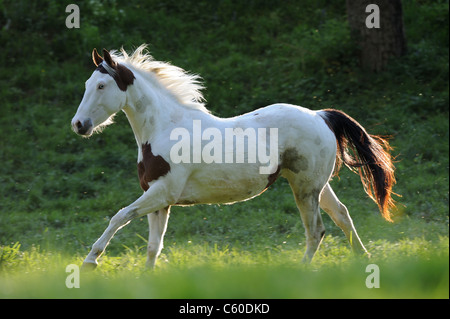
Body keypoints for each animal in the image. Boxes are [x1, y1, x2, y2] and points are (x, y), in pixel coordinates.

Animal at [71, 45, 398, 270]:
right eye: (86, 85)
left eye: (101, 85)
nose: (79, 125)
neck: (165, 128)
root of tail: (321, 115)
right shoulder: (159, 200)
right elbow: (153, 246)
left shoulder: (162, 192)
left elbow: (119, 216)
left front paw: (90, 261)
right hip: (315, 185)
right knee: (342, 215)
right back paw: (364, 258)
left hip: (305, 189)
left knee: (316, 230)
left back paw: (303, 270)